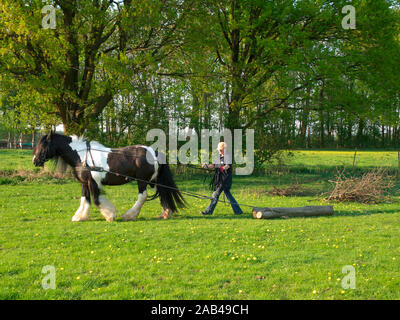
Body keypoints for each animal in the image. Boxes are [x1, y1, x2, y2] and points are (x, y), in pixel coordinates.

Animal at [32, 131, 185, 221]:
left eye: (43, 145)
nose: (35, 161)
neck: (82, 156)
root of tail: (154, 152)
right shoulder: (84, 183)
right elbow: (85, 199)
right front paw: (80, 216)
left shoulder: (93, 182)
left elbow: (95, 199)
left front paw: (110, 215)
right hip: (152, 181)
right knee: (162, 193)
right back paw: (165, 213)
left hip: (142, 181)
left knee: (143, 196)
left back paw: (129, 215)